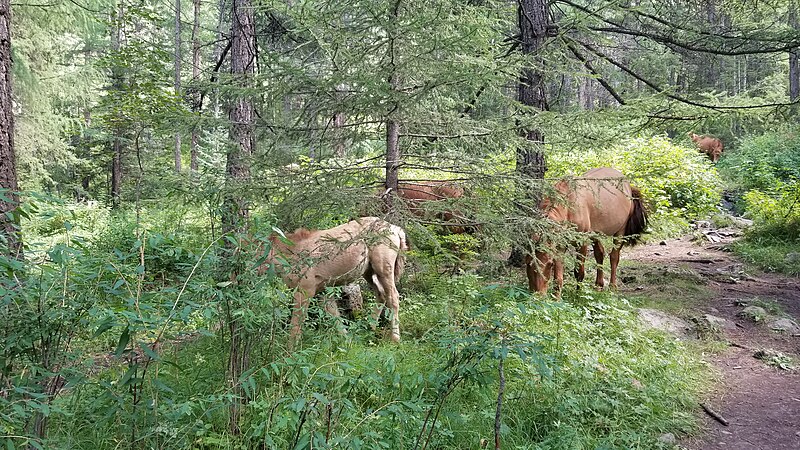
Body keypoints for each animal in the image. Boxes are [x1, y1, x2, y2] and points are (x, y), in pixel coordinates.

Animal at [260, 218, 410, 348]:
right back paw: (369, 329)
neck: (291, 255)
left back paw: (395, 338)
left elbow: (296, 323)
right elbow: (334, 315)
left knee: (393, 297)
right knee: (381, 294)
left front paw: (290, 349)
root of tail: (397, 230)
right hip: (368, 271)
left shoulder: (305, 290)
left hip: (384, 268)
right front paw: (347, 341)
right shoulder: (322, 291)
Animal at [524, 167, 648, 298]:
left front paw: (578, 296)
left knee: (614, 256)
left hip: (620, 231)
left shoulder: (582, 242)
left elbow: (579, 272)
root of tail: (628, 185)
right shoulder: (559, 246)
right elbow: (558, 277)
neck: (569, 206)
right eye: (527, 263)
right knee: (600, 253)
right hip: (596, 234)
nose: (537, 295)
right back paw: (598, 285)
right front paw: (556, 299)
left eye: (549, 264)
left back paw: (612, 287)